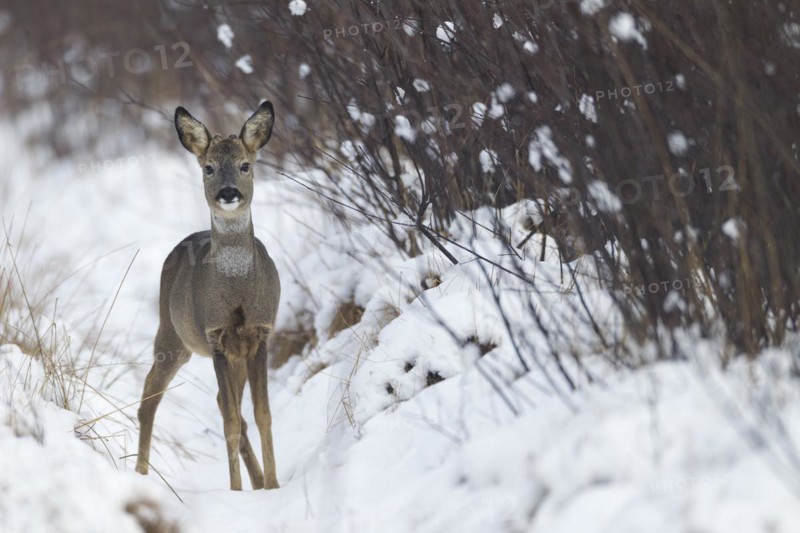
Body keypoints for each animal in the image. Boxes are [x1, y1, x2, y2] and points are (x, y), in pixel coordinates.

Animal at [135, 100, 280, 491]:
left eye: (245, 165)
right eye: (209, 167)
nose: (228, 193)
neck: (236, 289)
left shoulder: (261, 333)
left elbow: (261, 415)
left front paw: (273, 485)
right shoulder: (215, 336)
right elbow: (230, 422)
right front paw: (235, 489)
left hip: (232, 355)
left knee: (225, 404)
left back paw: (257, 480)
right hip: (171, 333)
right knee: (150, 394)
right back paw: (139, 472)